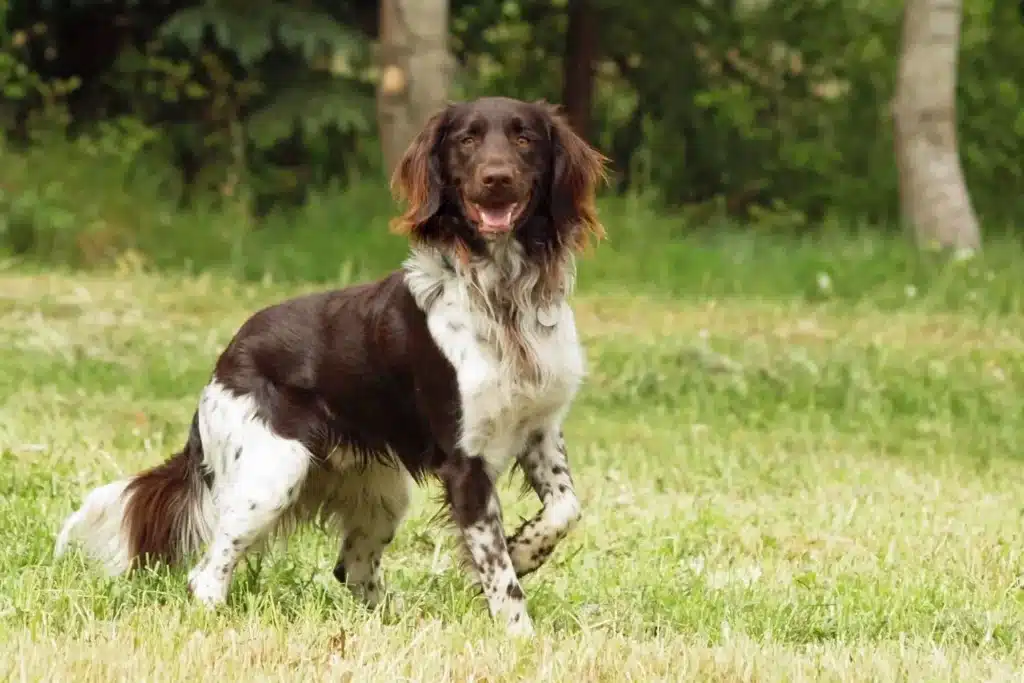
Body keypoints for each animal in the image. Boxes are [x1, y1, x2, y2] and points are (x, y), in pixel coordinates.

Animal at [54, 94, 606, 634]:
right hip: (274, 472)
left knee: (353, 570)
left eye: (524, 137)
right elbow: (500, 577)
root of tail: (224, 361)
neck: (504, 297)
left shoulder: (540, 426)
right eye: (467, 140)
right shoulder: (465, 460)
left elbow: (566, 509)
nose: (496, 178)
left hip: (381, 492)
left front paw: (524, 549)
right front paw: (520, 637)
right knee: (207, 574)